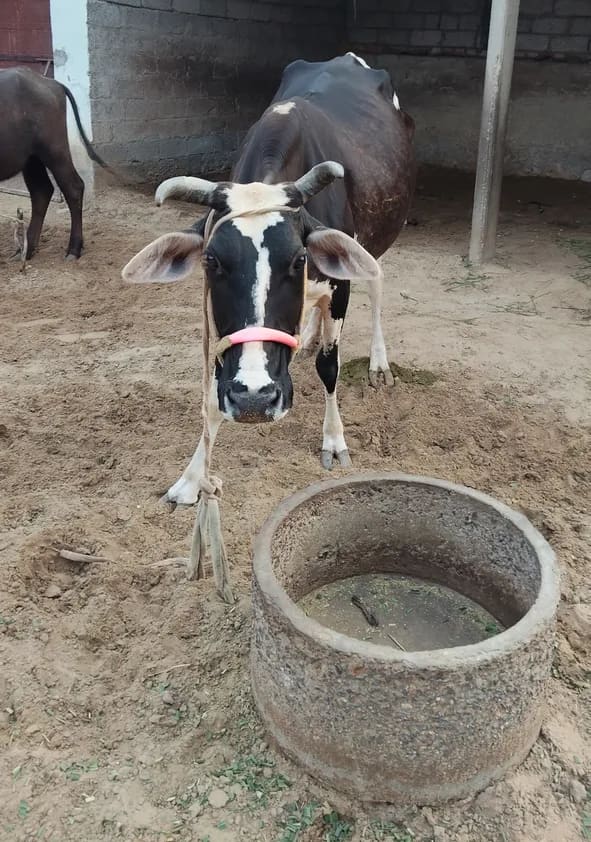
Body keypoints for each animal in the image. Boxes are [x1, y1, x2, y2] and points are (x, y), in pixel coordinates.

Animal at [0, 66, 109, 259]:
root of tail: (52, 83)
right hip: (32, 158)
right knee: (41, 191)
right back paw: (27, 250)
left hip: (54, 150)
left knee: (73, 187)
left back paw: (73, 249)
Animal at [122, 53, 415, 506]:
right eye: (211, 261)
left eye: (299, 259)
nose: (256, 398)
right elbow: (214, 392)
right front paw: (191, 478)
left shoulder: (339, 286)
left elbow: (329, 366)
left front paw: (334, 440)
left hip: (380, 239)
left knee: (377, 286)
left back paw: (378, 362)